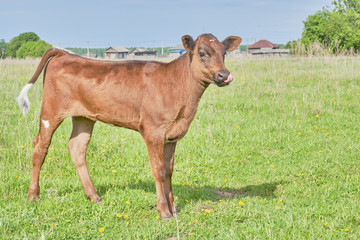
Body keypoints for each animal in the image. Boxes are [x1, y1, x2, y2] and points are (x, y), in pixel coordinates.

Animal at [17, 33, 242, 219]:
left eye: (224, 52)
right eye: (202, 53)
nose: (224, 75)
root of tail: (64, 54)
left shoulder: (173, 135)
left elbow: (169, 171)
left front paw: (174, 209)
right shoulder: (153, 131)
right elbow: (158, 170)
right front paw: (164, 211)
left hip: (84, 116)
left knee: (77, 147)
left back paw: (94, 196)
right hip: (50, 112)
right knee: (40, 148)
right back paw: (33, 196)